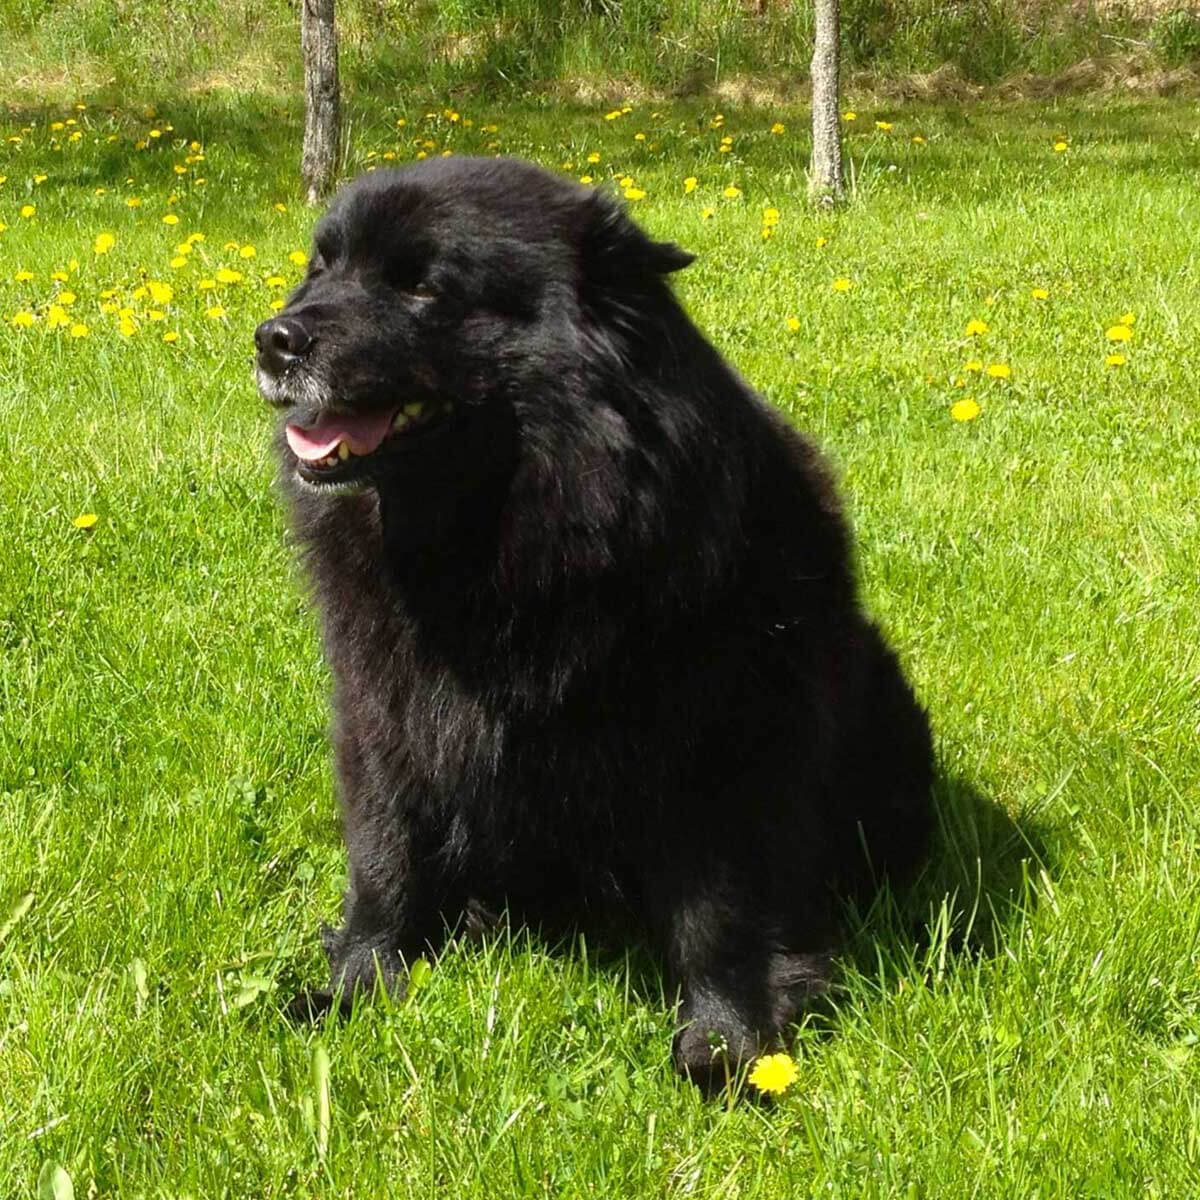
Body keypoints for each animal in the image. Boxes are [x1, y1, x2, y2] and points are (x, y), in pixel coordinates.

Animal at [253, 154, 931, 1084]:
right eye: (321, 268)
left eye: (422, 286)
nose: (273, 339)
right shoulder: (382, 715)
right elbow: (384, 861)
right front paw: (353, 989)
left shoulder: (727, 744)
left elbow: (722, 914)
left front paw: (727, 1047)